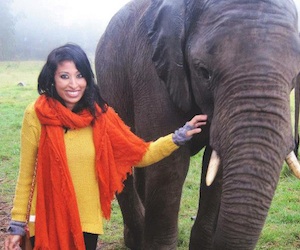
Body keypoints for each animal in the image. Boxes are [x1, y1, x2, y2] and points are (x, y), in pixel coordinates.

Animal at [95, 0, 300, 249]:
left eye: (295, 77)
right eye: (204, 72)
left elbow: (214, 167)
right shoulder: (151, 70)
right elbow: (170, 166)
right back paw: (135, 240)